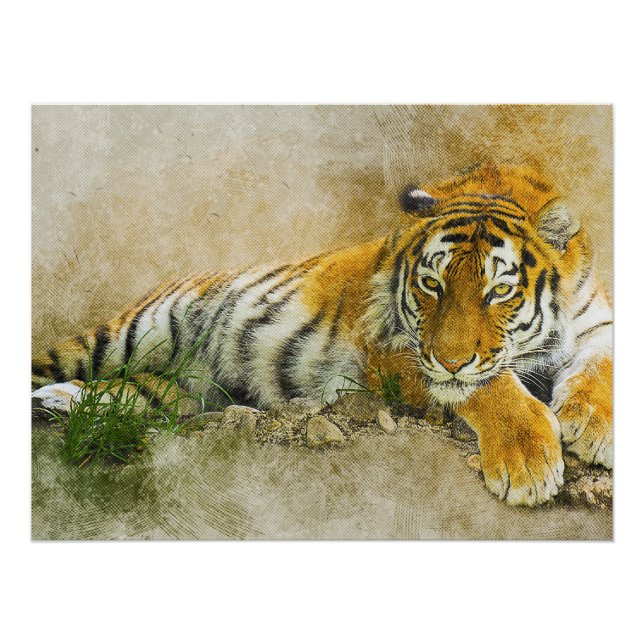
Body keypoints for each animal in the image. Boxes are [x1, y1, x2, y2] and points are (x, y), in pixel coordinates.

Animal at [32, 163, 613, 506]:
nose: (450, 359)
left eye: (500, 291)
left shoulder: (597, 321)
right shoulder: (394, 348)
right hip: (127, 334)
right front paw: (527, 463)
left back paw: (61, 402)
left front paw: (593, 426)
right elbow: (488, 385)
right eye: (431, 284)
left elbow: (603, 363)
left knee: (137, 393)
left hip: (182, 391)